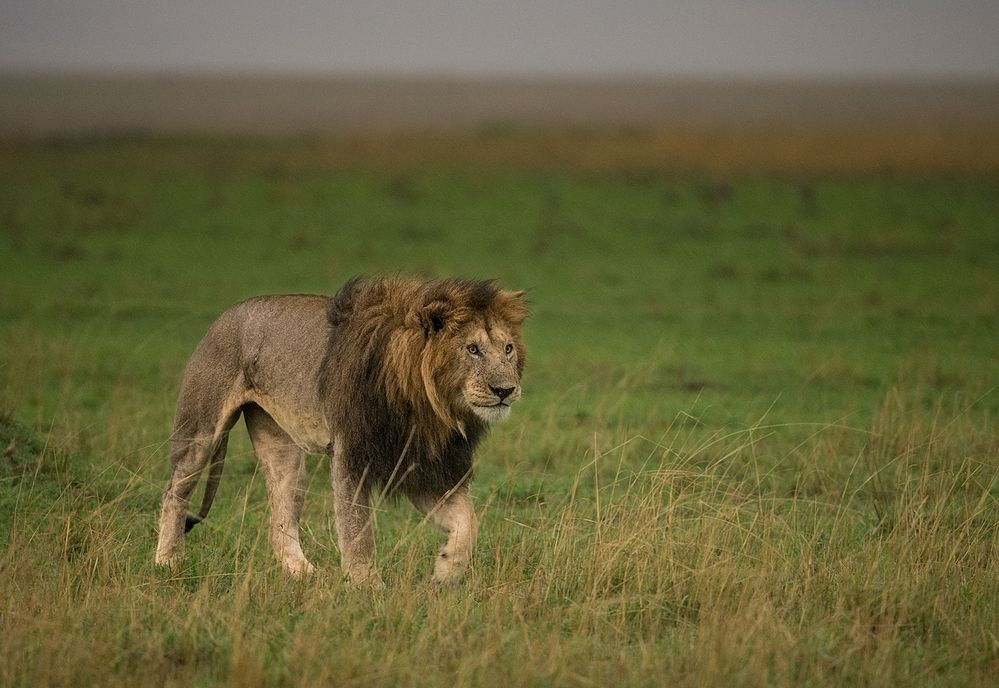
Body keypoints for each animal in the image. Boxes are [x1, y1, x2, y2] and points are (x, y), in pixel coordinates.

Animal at [154, 276, 532, 584]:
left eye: (508, 349)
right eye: (473, 349)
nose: (505, 390)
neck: (431, 405)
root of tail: (224, 316)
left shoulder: (424, 467)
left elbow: (468, 522)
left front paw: (446, 572)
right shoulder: (351, 455)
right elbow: (357, 529)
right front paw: (367, 586)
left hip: (283, 450)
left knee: (281, 518)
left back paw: (302, 574)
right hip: (200, 428)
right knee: (174, 493)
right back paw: (168, 562)